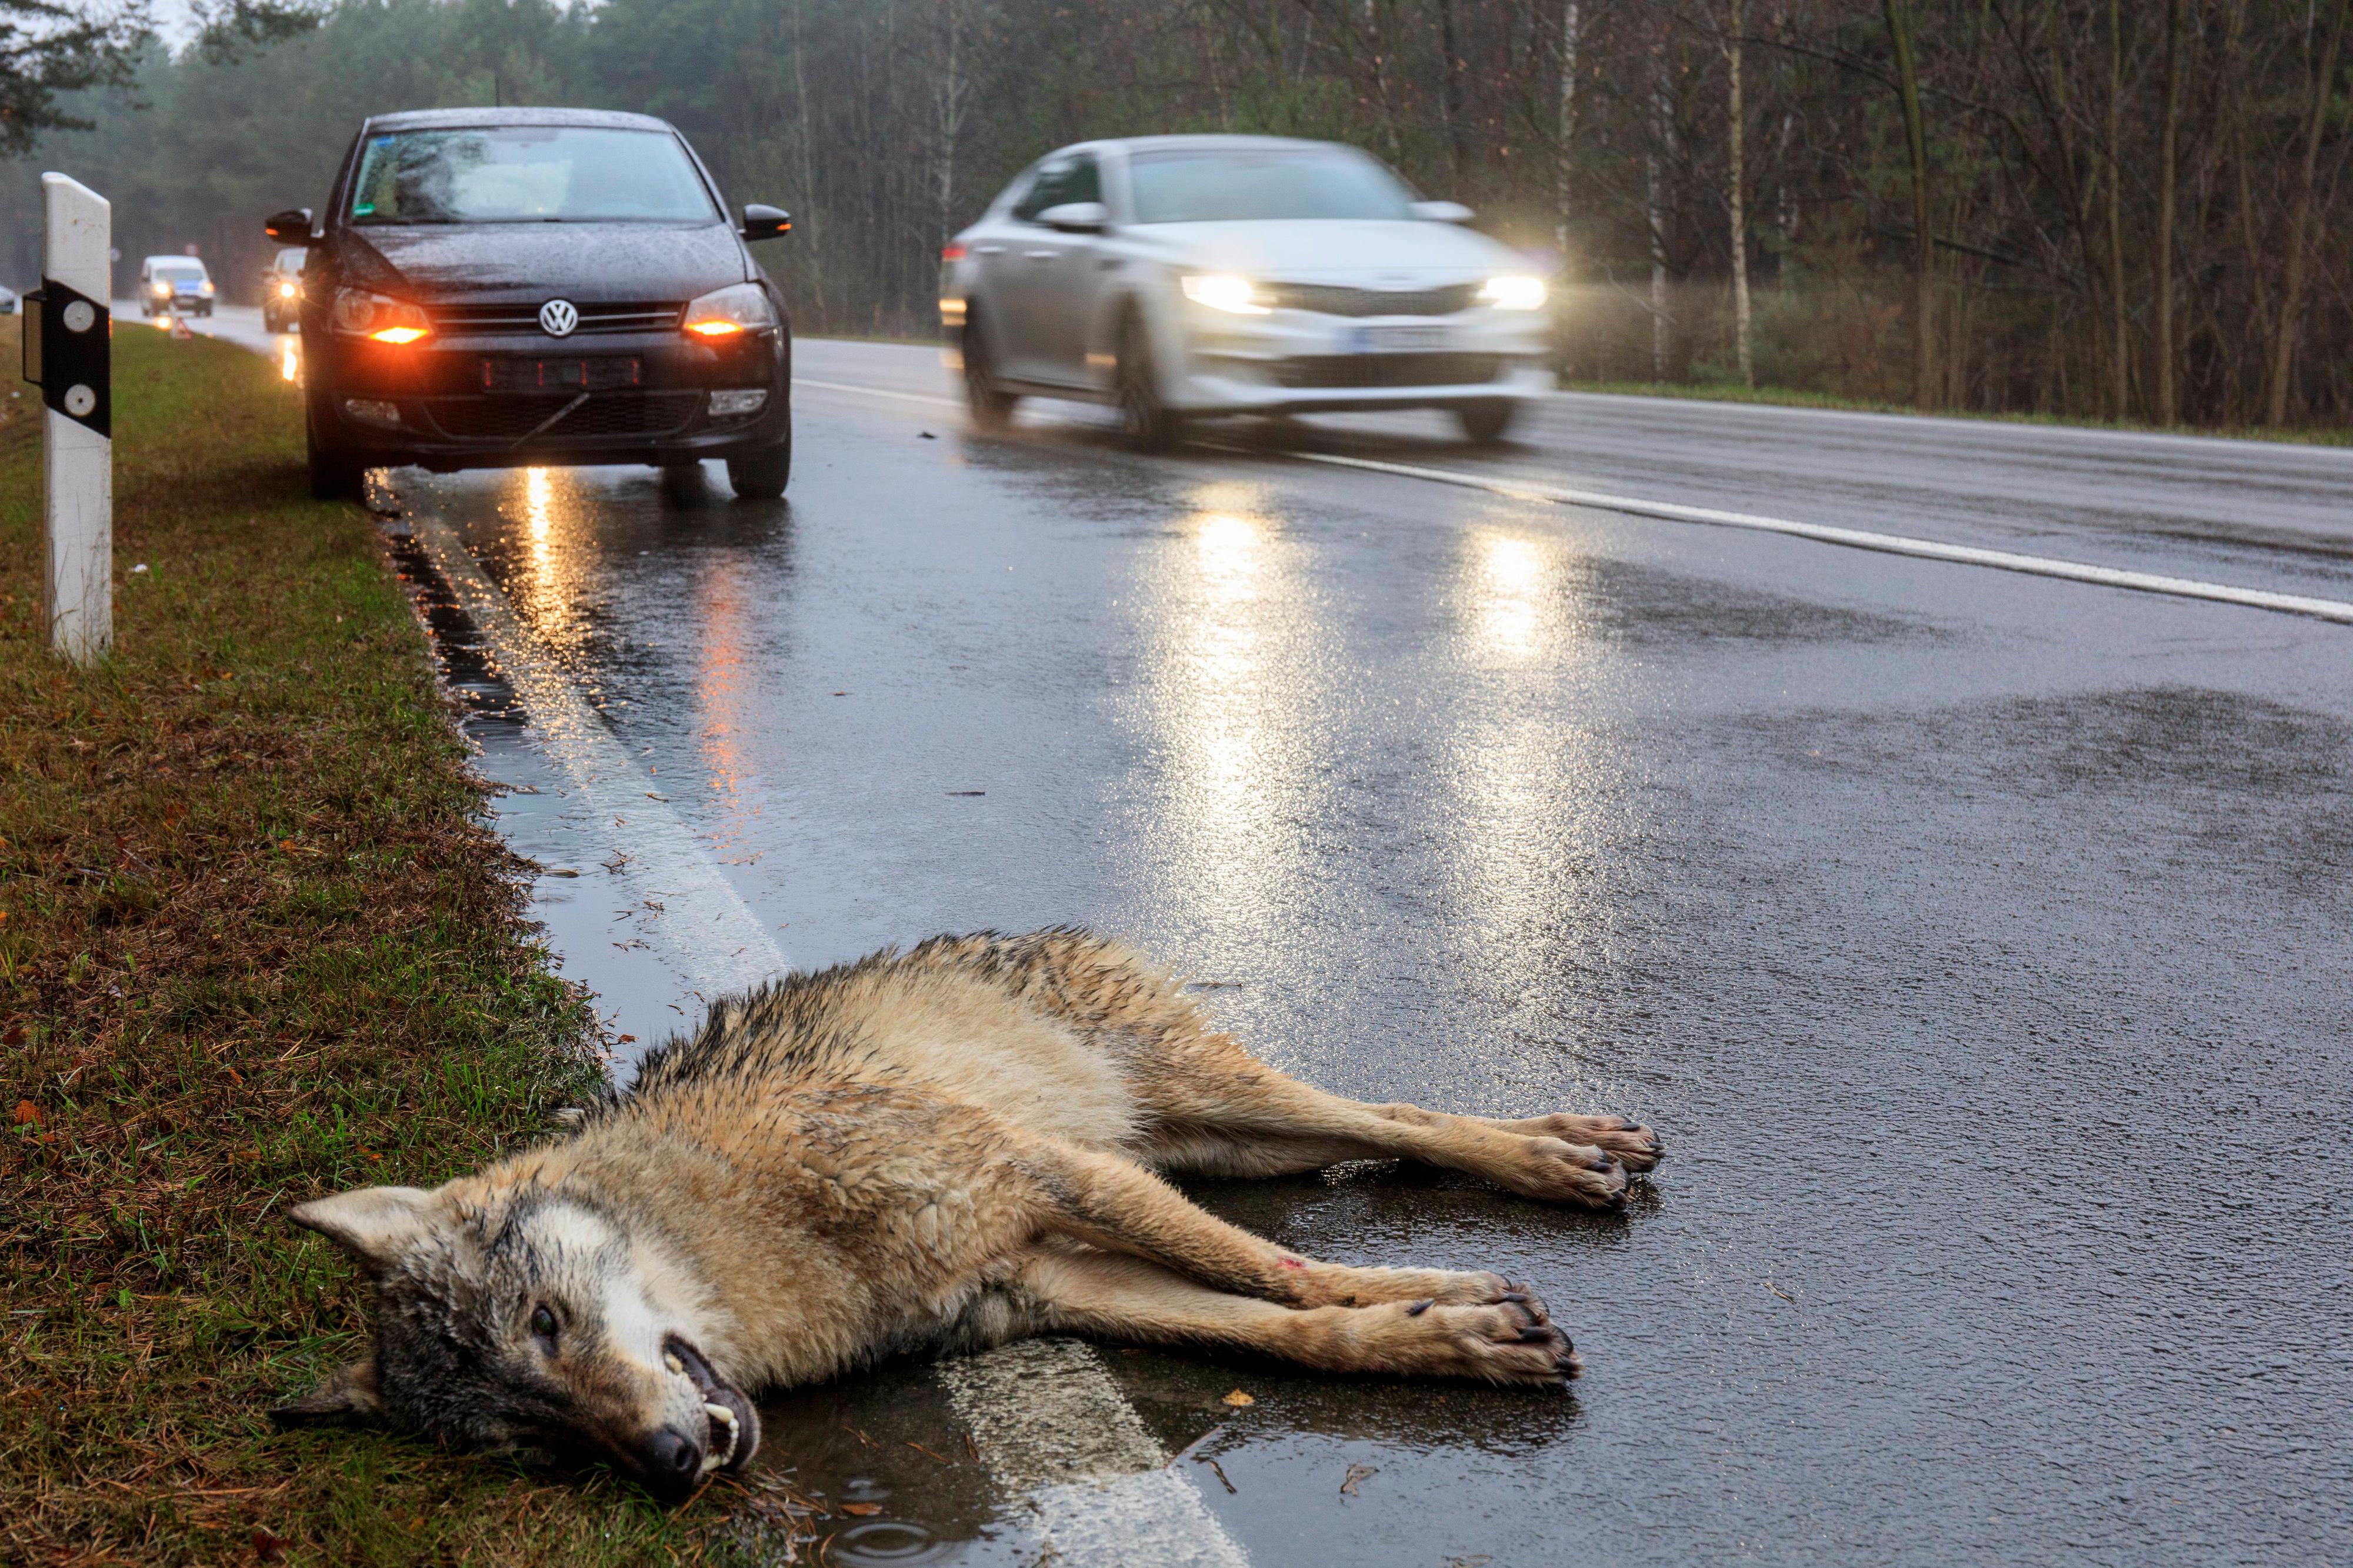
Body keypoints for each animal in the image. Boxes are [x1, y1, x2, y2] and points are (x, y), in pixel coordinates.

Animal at [273, 929, 1663, 1499]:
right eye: (535, 1440)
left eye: (549, 1324)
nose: (670, 1468)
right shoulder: (1051, 1281)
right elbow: (1286, 1329)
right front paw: (1445, 1336)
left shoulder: (1052, 1177)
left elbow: (1291, 1276)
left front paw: (1460, 1304)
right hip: (1217, 1140)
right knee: (1369, 1136)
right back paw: (1566, 1152)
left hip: (1208, 1106)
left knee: (1397, 1117)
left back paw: (1564, 1154)